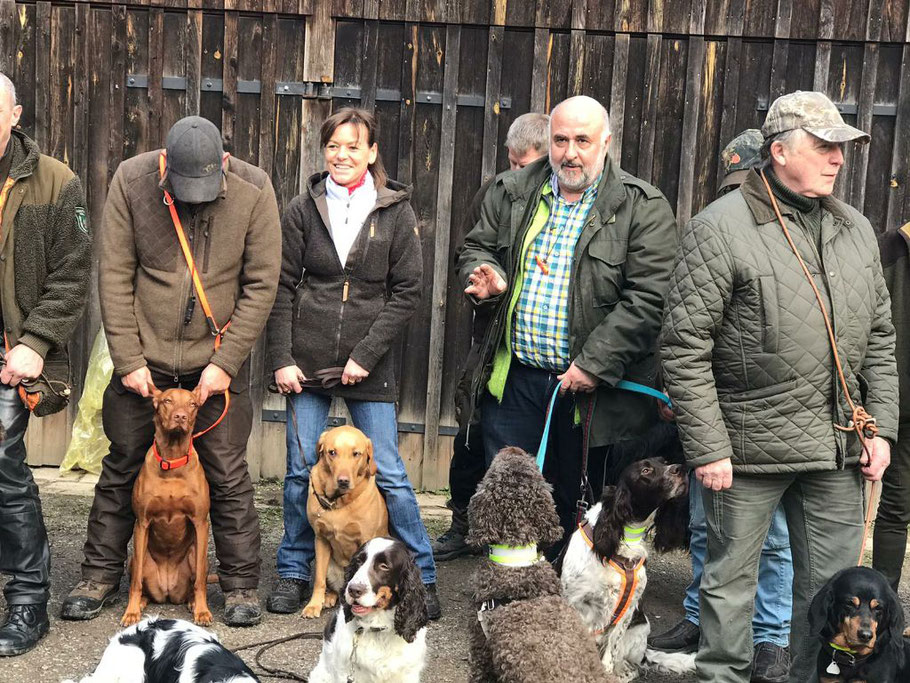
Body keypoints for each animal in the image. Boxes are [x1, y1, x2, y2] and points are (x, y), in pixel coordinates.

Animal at [120, 388, 213, 628]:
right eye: (167, 401)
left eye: (192, 404)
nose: (181, 417)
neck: (172, 460)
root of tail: (168, 593)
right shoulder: (142, 523)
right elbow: (135, 583)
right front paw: (131, 611)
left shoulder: (200, 523)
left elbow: (200, 581)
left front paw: (202, 611)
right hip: (137, 559)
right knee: (141, 583)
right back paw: (141, 603)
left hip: (196, 556)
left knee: (195, 582)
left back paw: (192, 603)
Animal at [304, 424, 390, 616]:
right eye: (332, 452)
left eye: (356, 454)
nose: (343, 481)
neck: (340, 502)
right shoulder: (320, 539)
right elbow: (319, 580)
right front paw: (314, 605)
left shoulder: (366, 539)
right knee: (334, 587)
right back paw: (329, 597)